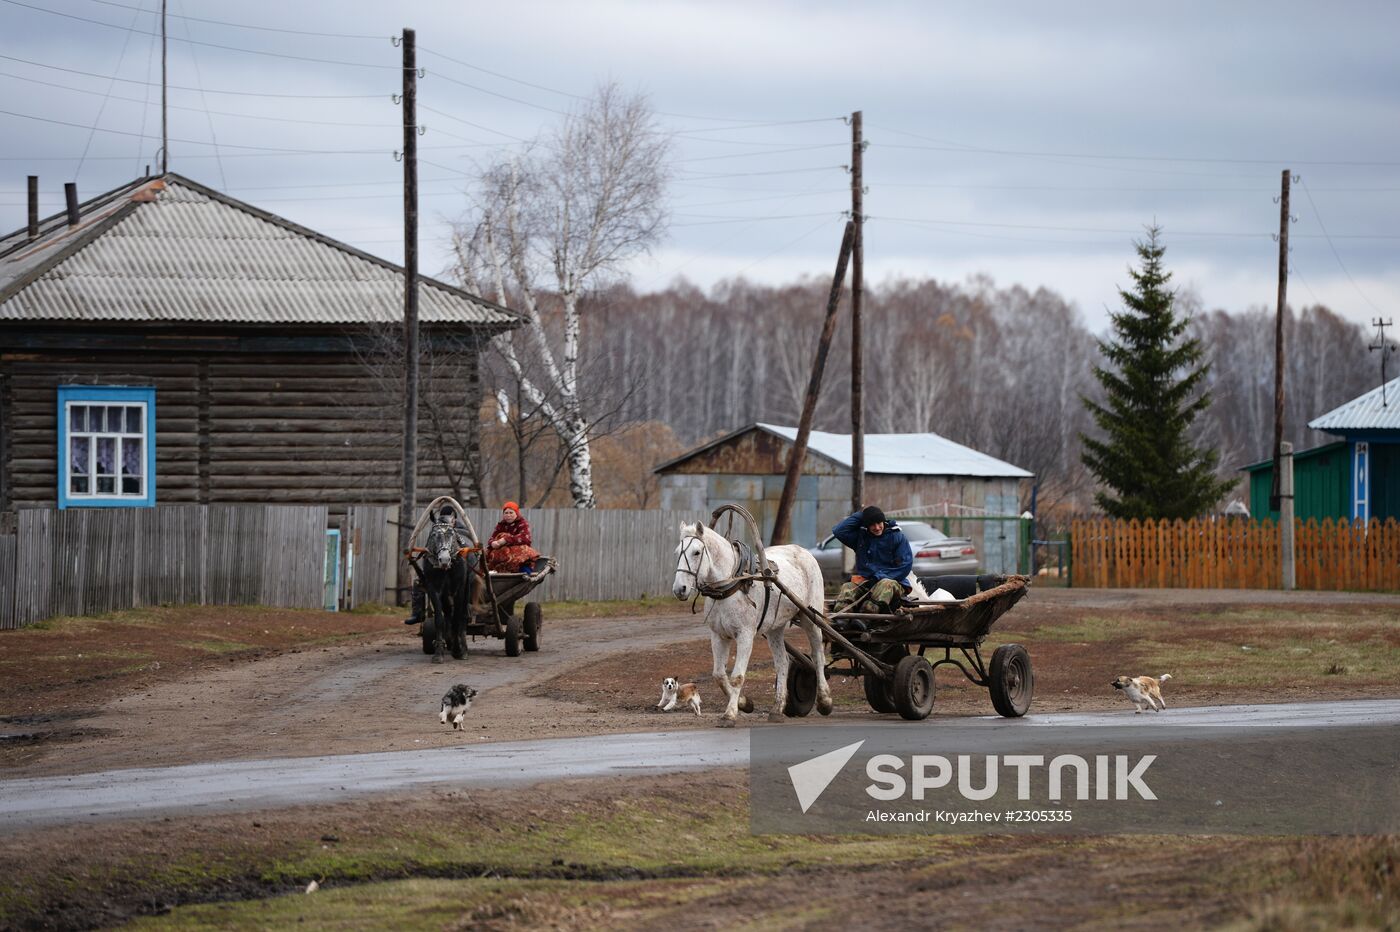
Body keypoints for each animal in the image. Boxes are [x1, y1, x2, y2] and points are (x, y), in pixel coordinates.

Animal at [674, 517, 834, 722]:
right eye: (677, 552)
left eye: (696, 552)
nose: (680, 589)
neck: (730, 585)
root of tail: (804, 551)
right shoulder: (718, 635)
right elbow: (718, 675)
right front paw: (744, 703)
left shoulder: (745, 635)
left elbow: (737, 677)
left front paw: (730, 713)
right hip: (775, 628)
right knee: (782, 662)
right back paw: (777, 708)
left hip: (810, 619)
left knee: (818, 656)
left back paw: (824, 701)